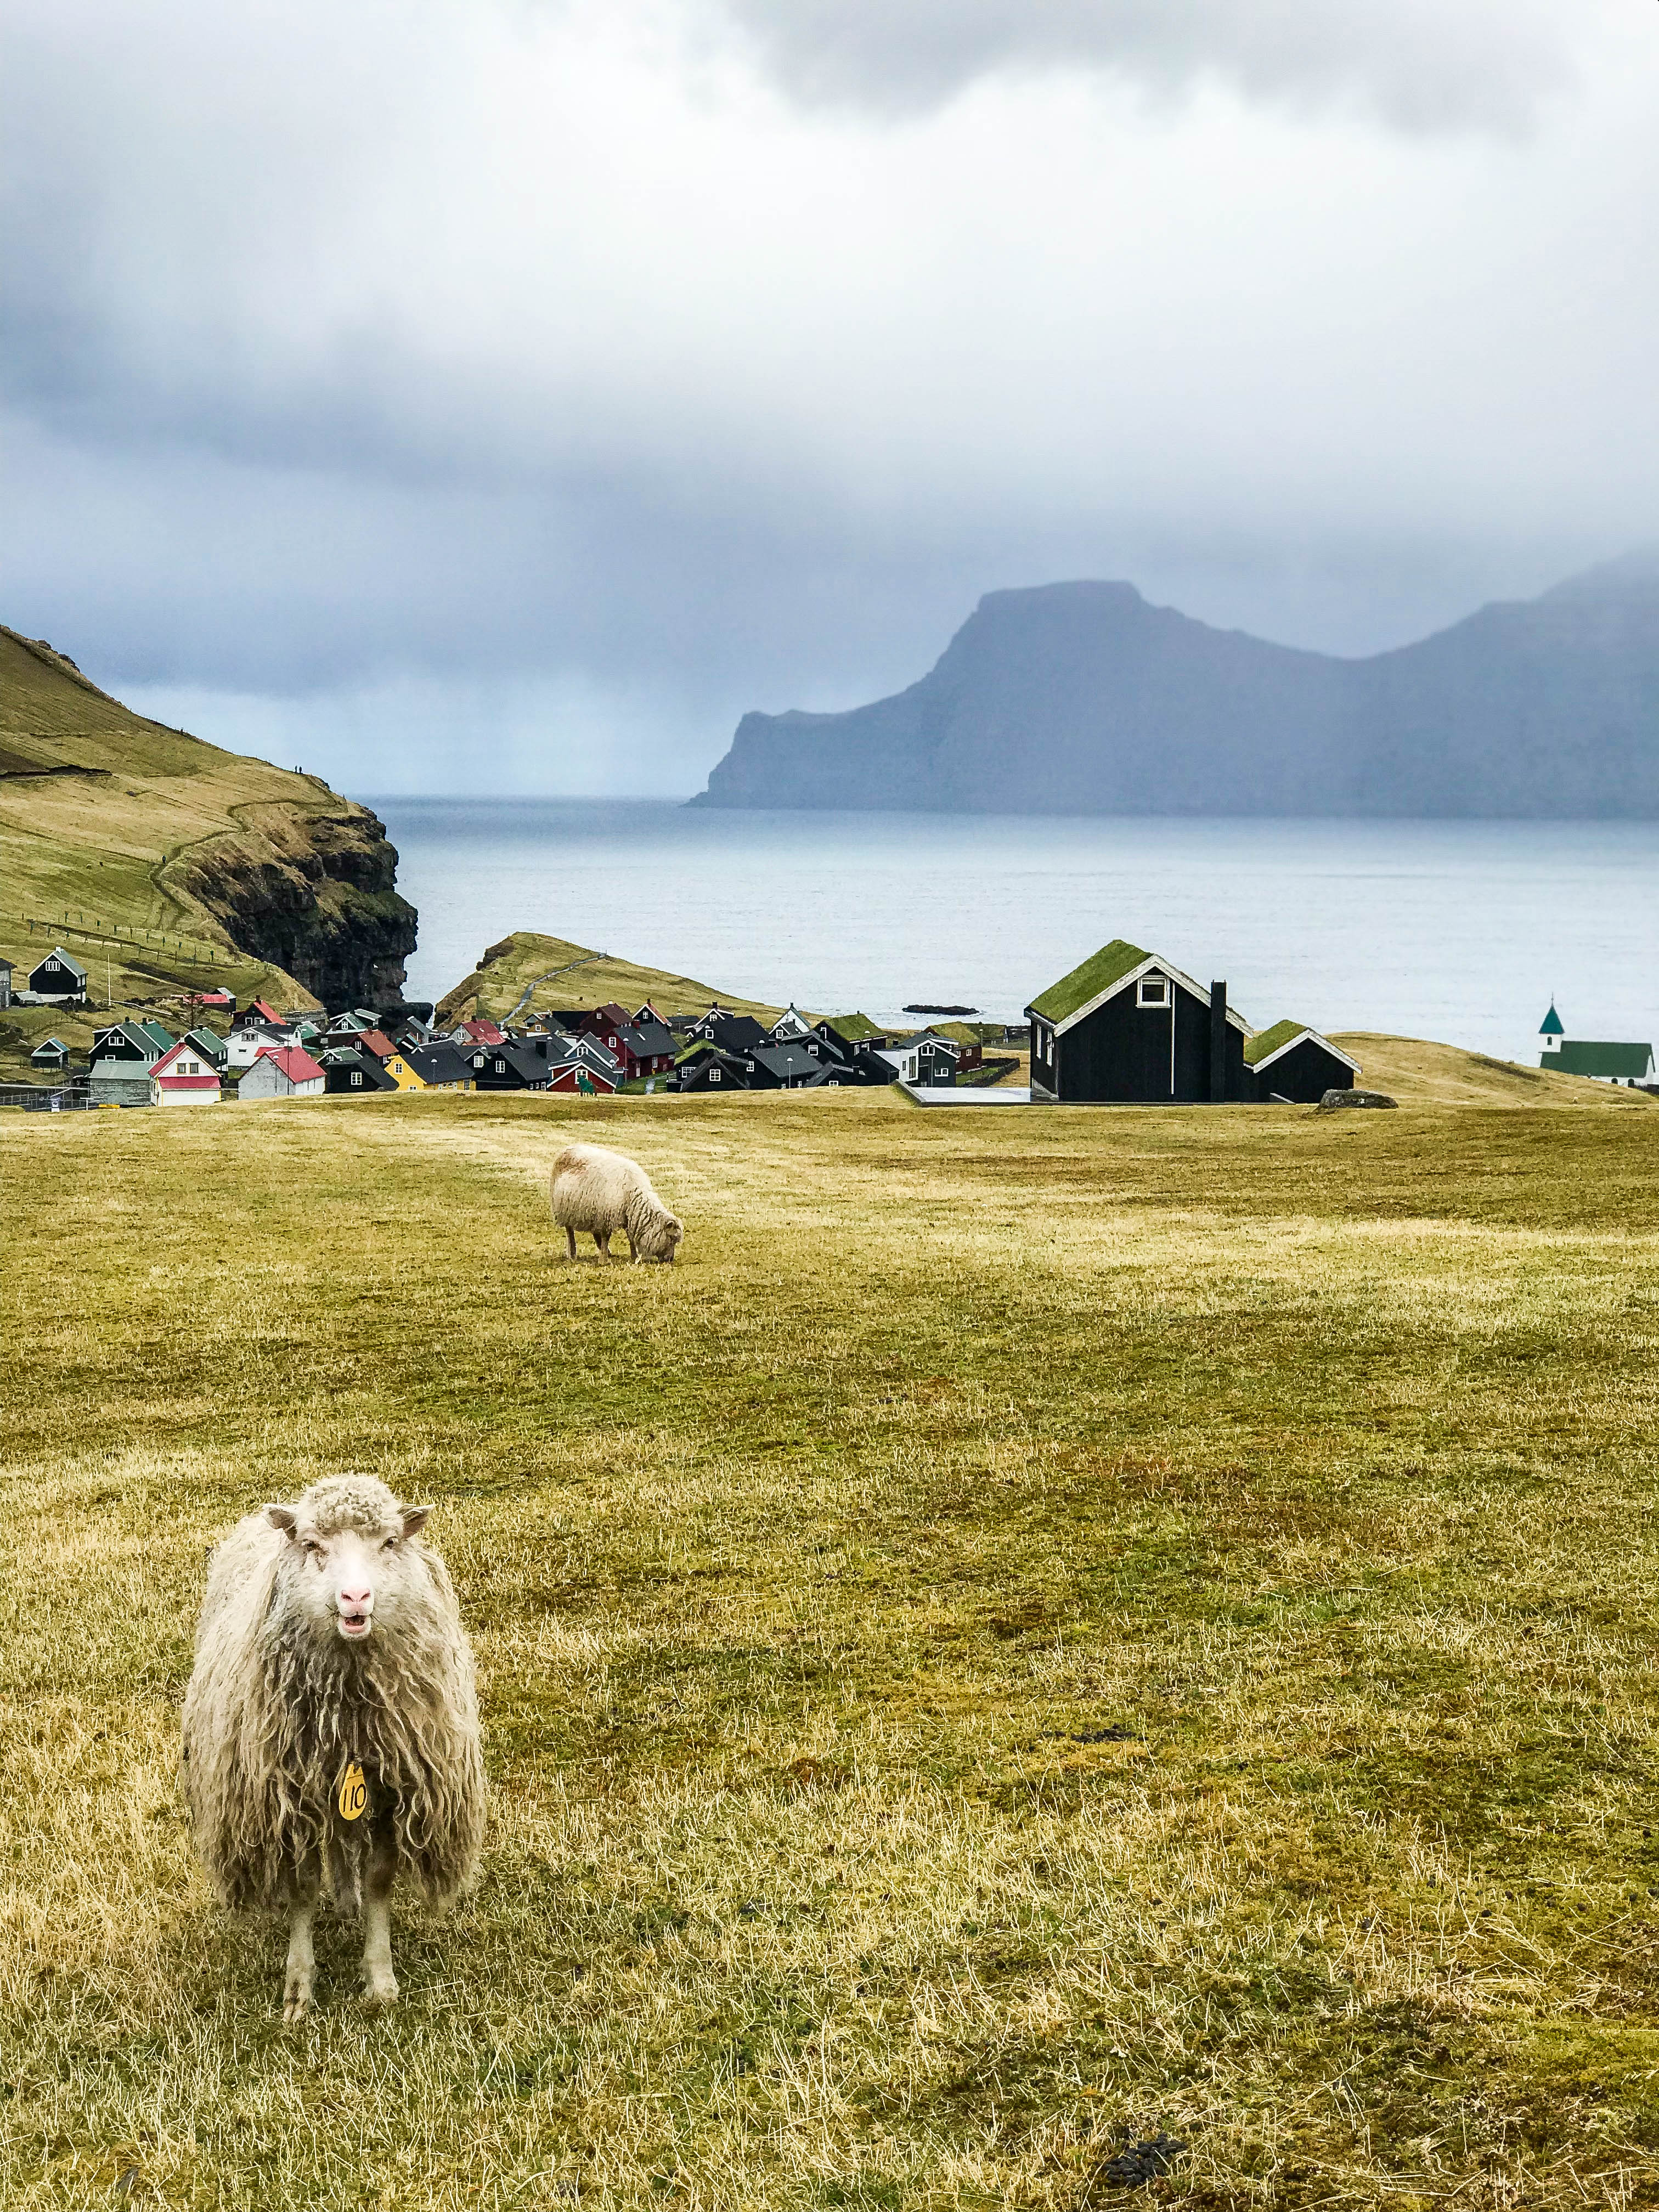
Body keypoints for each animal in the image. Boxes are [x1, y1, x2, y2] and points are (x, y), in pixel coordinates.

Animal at [188, 1477, 491, 2017]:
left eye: (389, 1542)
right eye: (312, 1545)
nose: (356, 1596)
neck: (346, 1717)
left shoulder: (392, 1790)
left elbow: (379, 1879)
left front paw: (381, 1978)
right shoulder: (292, 1799)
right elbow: (303, 1889)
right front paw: (299, 1987)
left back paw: (350, 1901)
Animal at [553, 1141, 681, 1265]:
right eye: (672, 1238)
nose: (670, 1260)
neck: (632, 1192)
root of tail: (568, 1149)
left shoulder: (626, 1215)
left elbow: (630, 1237)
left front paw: (634, 1257)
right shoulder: (607, 1215)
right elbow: (606, 1237)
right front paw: (604, 1260)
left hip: (592, 1211)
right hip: (566, 1209)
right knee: (570, 1232)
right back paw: (573, 1254)